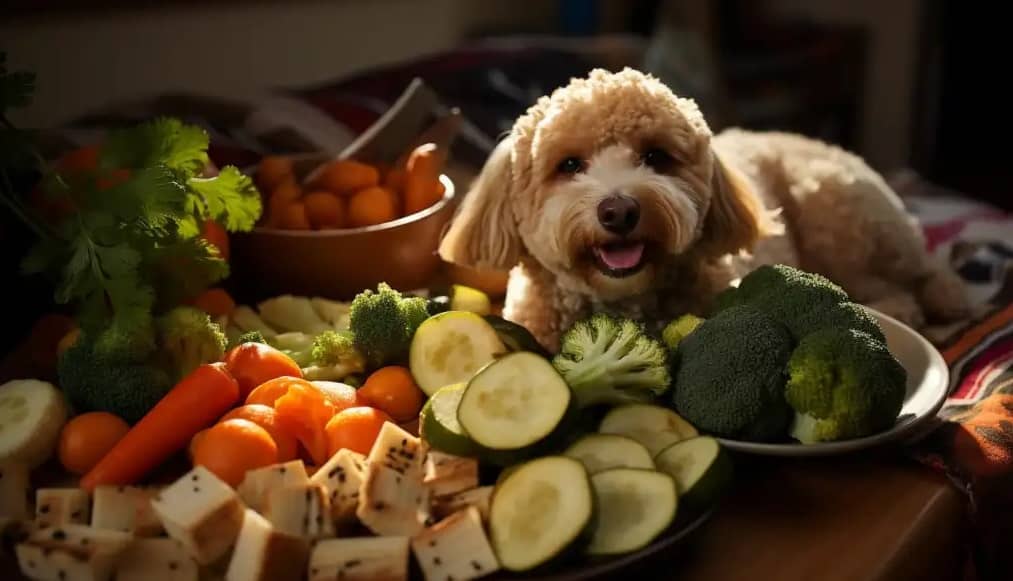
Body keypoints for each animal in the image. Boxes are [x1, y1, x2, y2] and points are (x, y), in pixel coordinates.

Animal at [435, 68, 964, 350]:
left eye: (655, 157)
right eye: (569, 165)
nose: (619, 210)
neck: (622, 301)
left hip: (839, 213)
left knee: (916, 273)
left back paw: (922, 303)